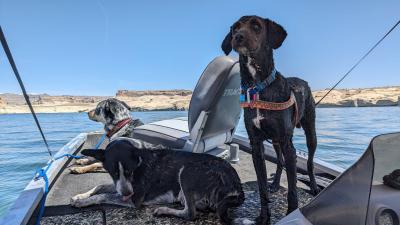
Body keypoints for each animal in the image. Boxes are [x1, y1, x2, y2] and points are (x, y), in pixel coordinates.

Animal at [70, 138, 244, 224]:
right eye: (113, 172)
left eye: (129, 171)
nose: (126, 193)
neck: (139, 162)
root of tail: (237, 184)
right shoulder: (120, 185)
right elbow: (100, 186)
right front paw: (80, 196)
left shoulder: (134, 199)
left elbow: (103, 195)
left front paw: (83, 202)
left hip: (186, 172)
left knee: (190, 214)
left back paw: (163, 210)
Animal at [222, 15, 318, 223]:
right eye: (235, 28)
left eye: (256, 26)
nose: (238, 37)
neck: (258, 87)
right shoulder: (256, 146)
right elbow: (261, 188)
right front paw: (263, 216)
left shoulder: (288, 146)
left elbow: (292, 189)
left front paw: (291, 213)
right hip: (275, 141)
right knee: (280, 162)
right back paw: (275, 183)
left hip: (309, 132)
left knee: (309, 162)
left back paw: (314, 186)